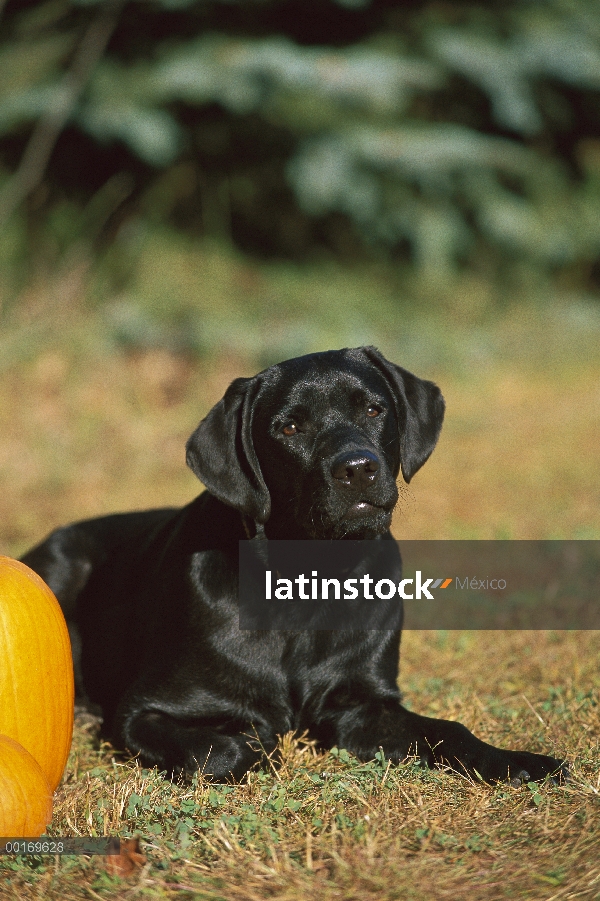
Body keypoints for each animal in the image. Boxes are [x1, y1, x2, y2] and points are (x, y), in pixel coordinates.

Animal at [23, 348, 564, 784]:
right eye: (289, 427)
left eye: (374, 408)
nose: (358, 468)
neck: (309, 585)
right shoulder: (142, 711)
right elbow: (226, 750)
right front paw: (255, 737)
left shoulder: (362, 704)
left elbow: (449, 730)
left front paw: (522, 762)